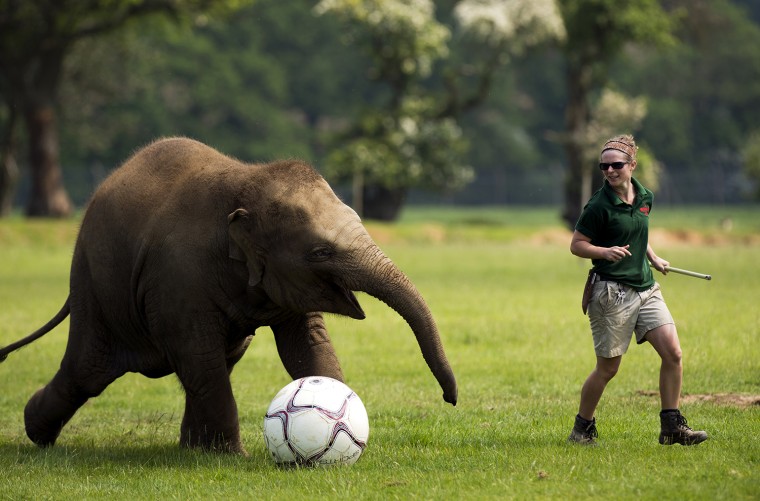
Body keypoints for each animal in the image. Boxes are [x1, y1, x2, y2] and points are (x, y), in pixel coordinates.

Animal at [0, 137, 458, 454]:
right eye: (320, 253)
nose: (450, 399)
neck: (247, 180)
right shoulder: (178, 279)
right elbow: (198, 351)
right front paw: (233, 458)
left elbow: (306, 346)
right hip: (94, 286)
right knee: (89, 369)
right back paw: (35, 433)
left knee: (218, 359)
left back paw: (189, 451)